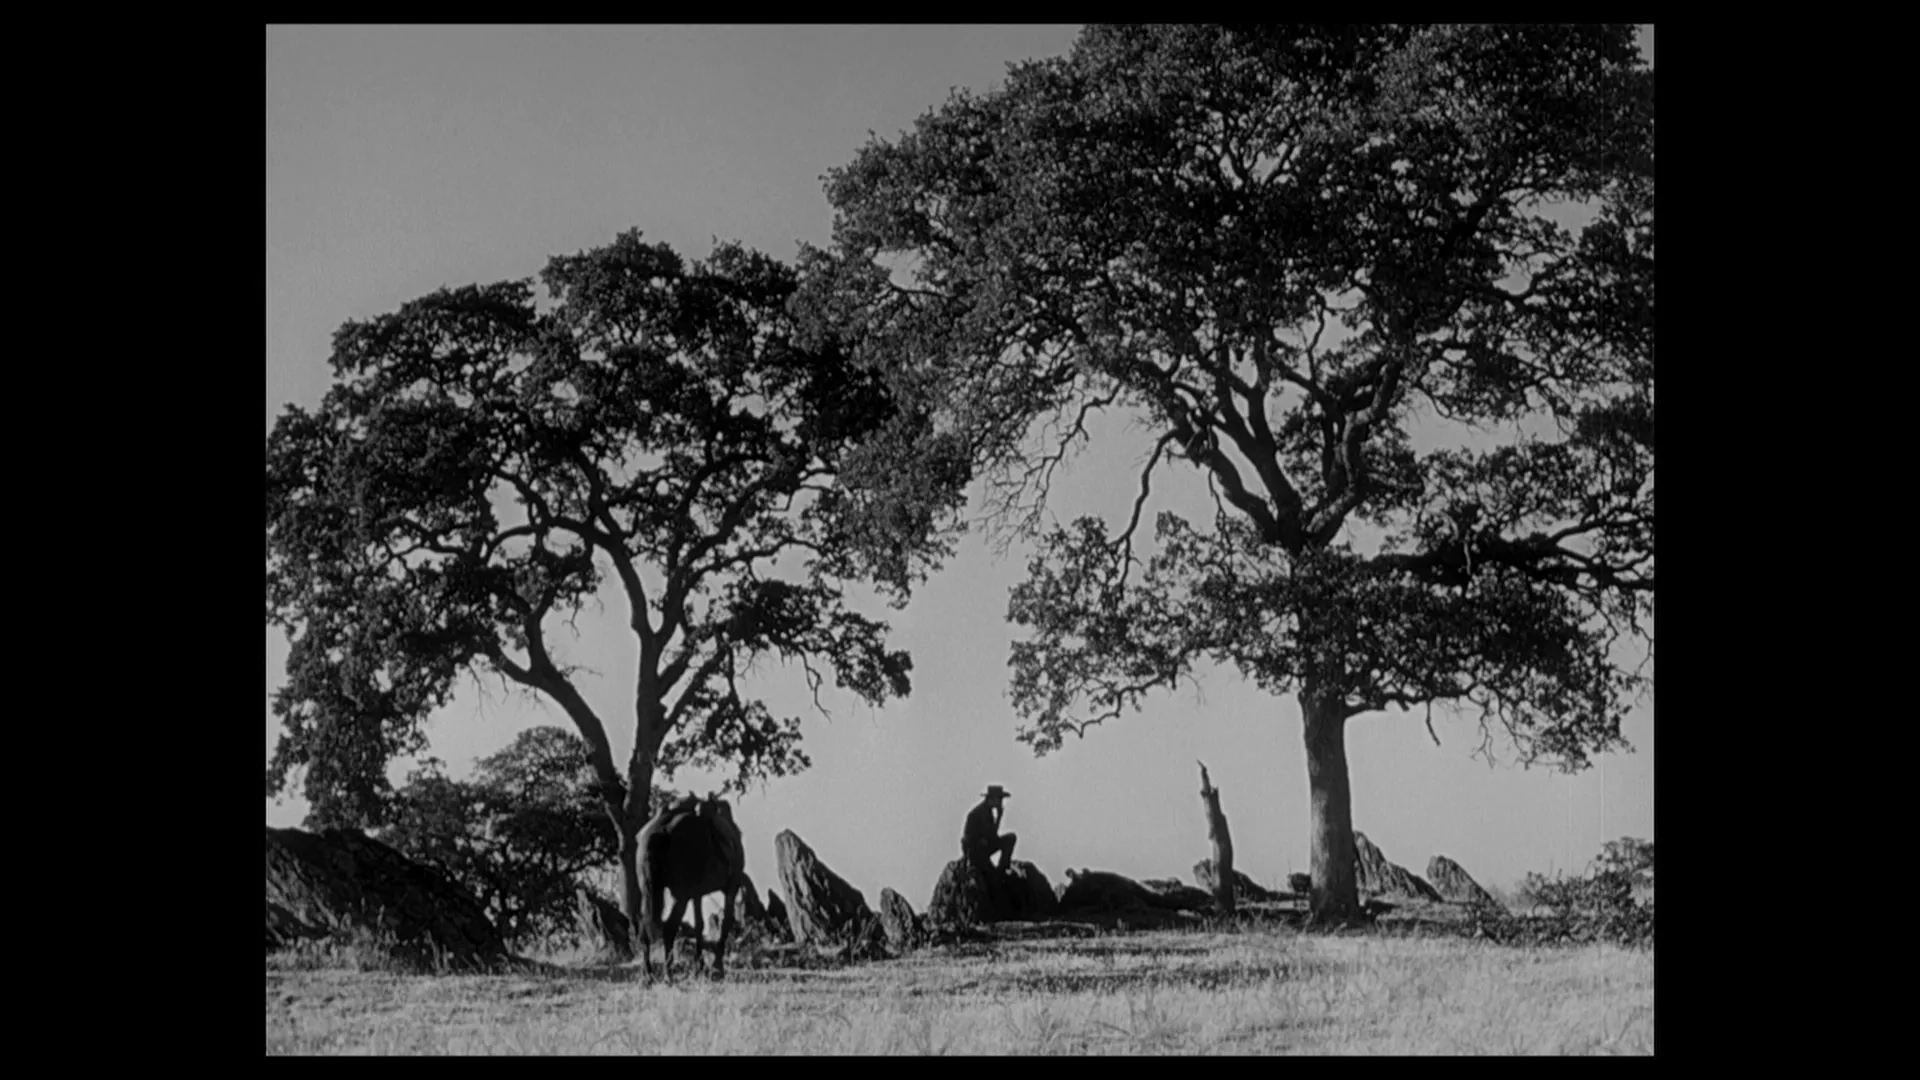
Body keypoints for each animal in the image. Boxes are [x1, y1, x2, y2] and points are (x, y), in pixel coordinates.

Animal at [633, 791, 744, 976]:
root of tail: (661, 830)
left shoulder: (696, 894)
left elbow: (699, 925)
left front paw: (701, 965)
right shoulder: (731, 888)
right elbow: (726, 921)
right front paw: (717, 966)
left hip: (649, 893)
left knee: (644, 927)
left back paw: (648, 973)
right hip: (681, 896)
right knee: (669, 927)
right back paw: (668, 973)